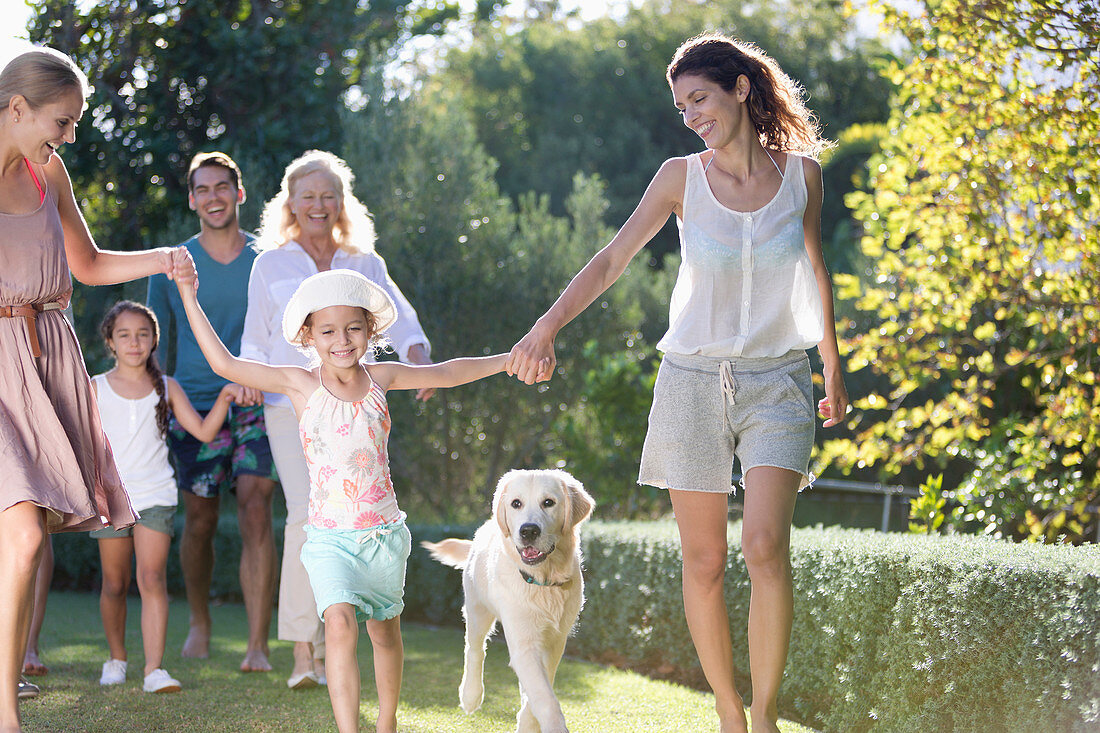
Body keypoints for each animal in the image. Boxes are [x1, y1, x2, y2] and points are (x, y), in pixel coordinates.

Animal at [420, 468, 594, 730]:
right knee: (474, 649)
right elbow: (544, 698)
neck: (541, 582)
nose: (528, 530)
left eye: (549, 502)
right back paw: (470, 695)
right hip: (477, 610)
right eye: (516, 504)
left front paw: (527, 724)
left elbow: (539, 689)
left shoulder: (555, 640)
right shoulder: (523, 641)